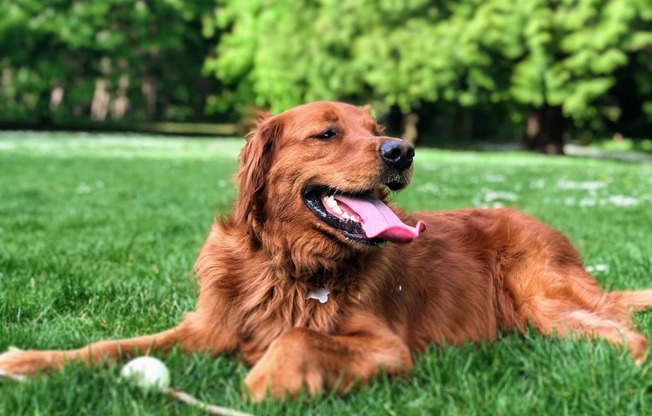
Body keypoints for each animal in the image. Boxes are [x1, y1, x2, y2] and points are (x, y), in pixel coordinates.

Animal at [1, 101, 652, 400]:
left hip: (542, 301)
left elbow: (296, 337)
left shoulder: (389, 348)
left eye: (376, 128)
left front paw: (262, 381)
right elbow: (108, 345)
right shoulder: (205, 329)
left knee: (628, 336)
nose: (402, 150)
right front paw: (30, 361)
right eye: (328, 132)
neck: (289, 264)